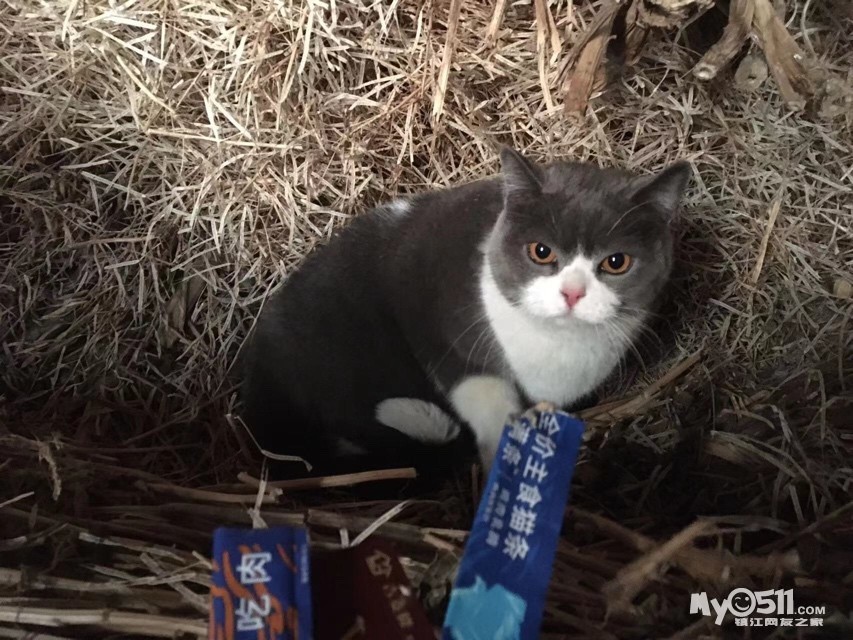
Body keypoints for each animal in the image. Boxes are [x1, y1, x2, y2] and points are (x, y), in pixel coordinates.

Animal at [240, 147, 690, 478]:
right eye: (541, 252)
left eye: (616, 262)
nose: (572, 292)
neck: (556, 344)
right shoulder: (449, 326)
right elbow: (485, 398)